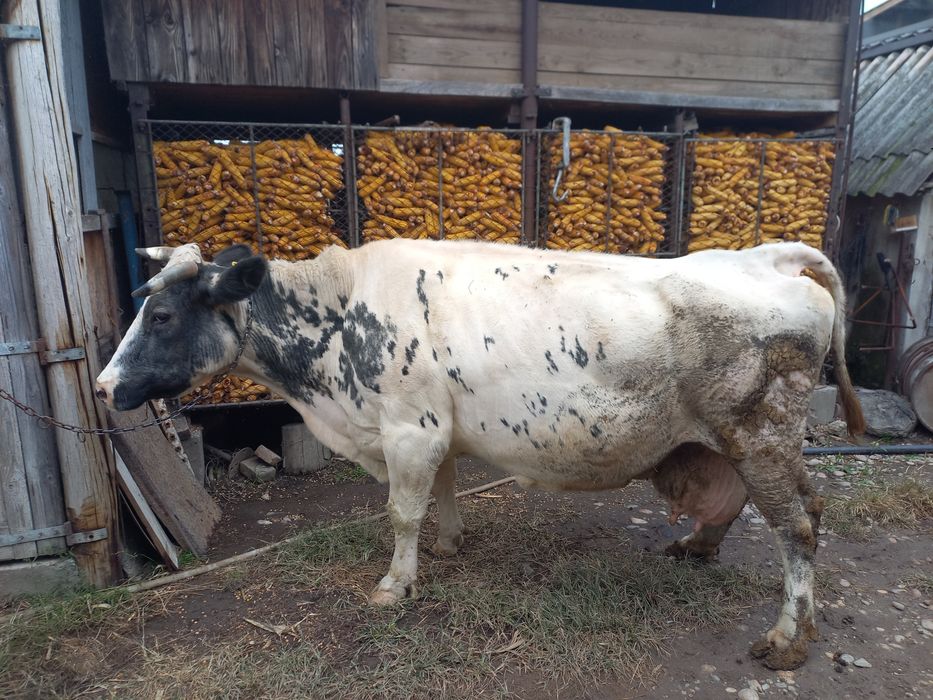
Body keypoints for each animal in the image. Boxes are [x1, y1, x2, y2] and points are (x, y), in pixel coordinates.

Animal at [96, 239, 864, 670]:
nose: (103, 386)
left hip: (760, 432)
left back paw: (787, 638)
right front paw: (448, 543)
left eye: (161, 316)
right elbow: (441, 489)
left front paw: (394, 583)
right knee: (777, 506)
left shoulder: (409, 426)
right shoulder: (432, 427)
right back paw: (698, 548)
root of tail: (764, 257)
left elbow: (402, 510)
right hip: (739, 442)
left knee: (797, 526)